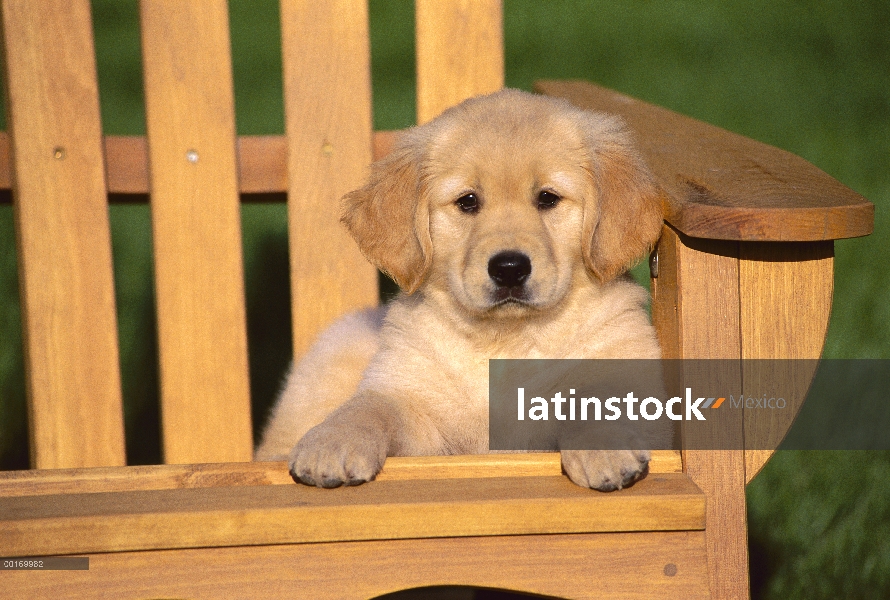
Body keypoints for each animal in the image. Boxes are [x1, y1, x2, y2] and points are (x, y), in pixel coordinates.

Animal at [253, 90, 664, 492]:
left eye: (547, 198)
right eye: (468, 201)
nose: (509, 269)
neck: (506, 340)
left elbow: (598, 402)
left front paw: (605, 447)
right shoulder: (415, 408)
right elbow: (369, 407)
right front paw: (331, 442)